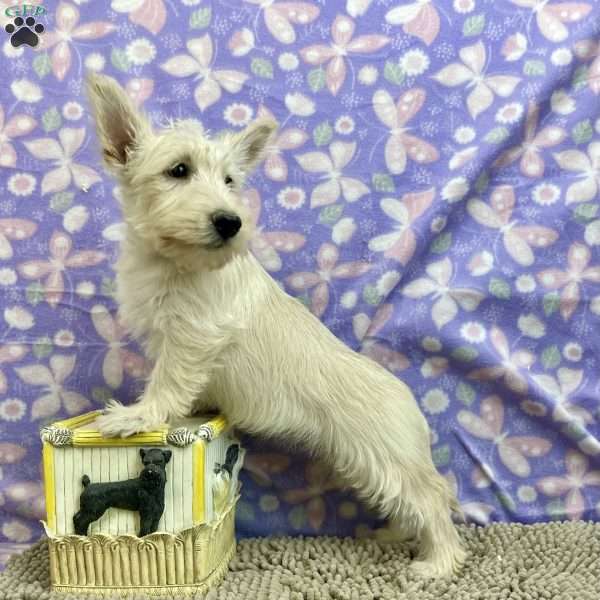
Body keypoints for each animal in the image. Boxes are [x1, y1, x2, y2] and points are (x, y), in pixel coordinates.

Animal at [86, 74, 466, 576]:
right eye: (179, 170)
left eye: (230, 180)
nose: (231, 222)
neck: (175, 263)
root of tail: (411, 404)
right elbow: (186, 390)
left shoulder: (192, 340)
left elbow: (168, 384)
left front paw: (138, 416)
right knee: (413, 506)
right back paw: (392, 536)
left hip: (387, 460)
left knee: (433, 499)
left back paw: (437, 562)